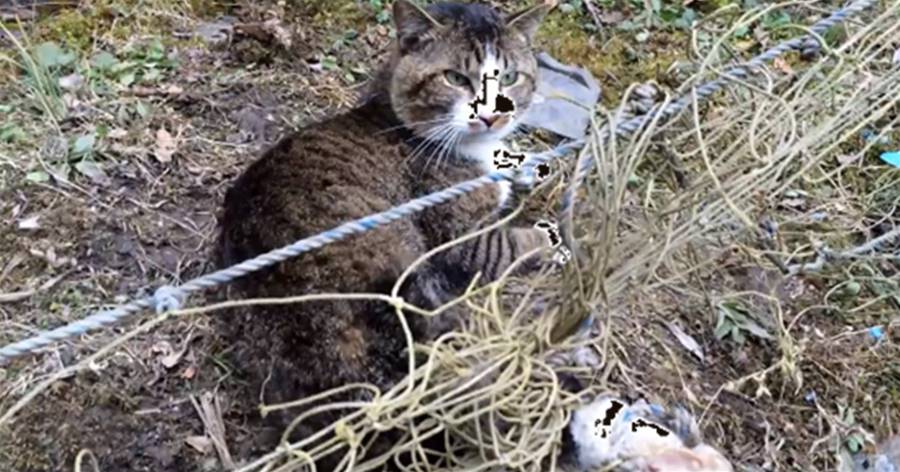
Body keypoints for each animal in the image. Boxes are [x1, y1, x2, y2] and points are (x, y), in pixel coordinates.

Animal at [215, 1, 555, 469]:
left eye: (509, 77)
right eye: (455, 78)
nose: (492, 116)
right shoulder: (460, 239)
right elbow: (511, 245)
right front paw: (552, 239)